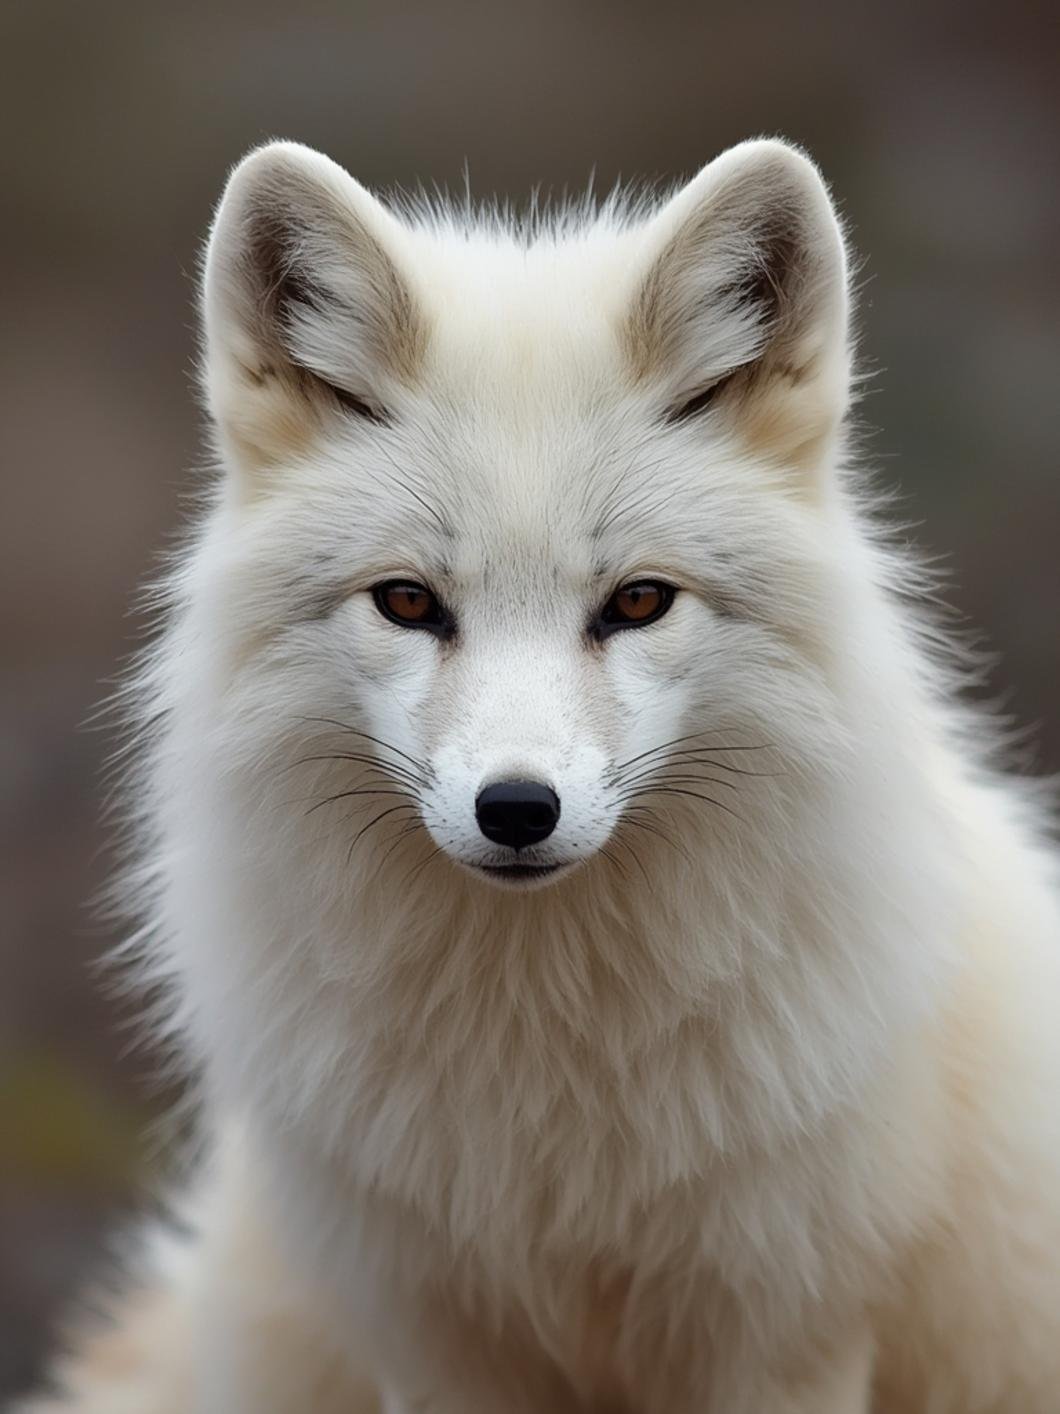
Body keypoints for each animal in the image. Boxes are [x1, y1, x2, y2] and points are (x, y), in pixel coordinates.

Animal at [17, 136, 1060, 1413]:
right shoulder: (436, 1341)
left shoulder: (781, 1335)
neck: (551, 1087)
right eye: (407, 601)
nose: (516, 809)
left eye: (639, 601)